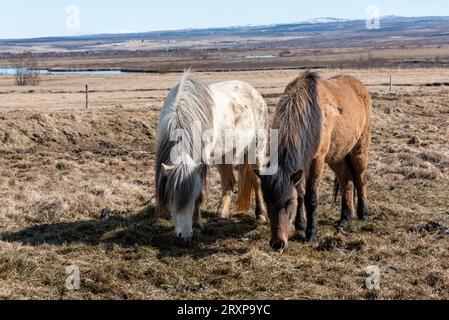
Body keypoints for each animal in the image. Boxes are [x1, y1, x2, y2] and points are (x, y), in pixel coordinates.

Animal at [155, 71, 266, 241]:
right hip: (224, 154)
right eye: (171, 197)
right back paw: (221, 213)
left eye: (193, 197)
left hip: (256, 148)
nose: (185, 236)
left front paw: (196, 223)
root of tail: (254, 91)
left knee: (257, 180)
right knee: (229, 182)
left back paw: (260, 215)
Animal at [260, 71, 372, 251]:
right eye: (267, 202)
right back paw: (344, 218)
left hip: (359, 149)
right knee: (346, 180)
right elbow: (300, 193)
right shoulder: (299, 166)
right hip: (337, 155)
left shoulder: (316, 161)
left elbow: (311, 198)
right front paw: (300, 224)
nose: (277, 244)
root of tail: (360, 85)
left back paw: (363, 213)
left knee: (360, 180)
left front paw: (311, 234)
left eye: (288, 203)